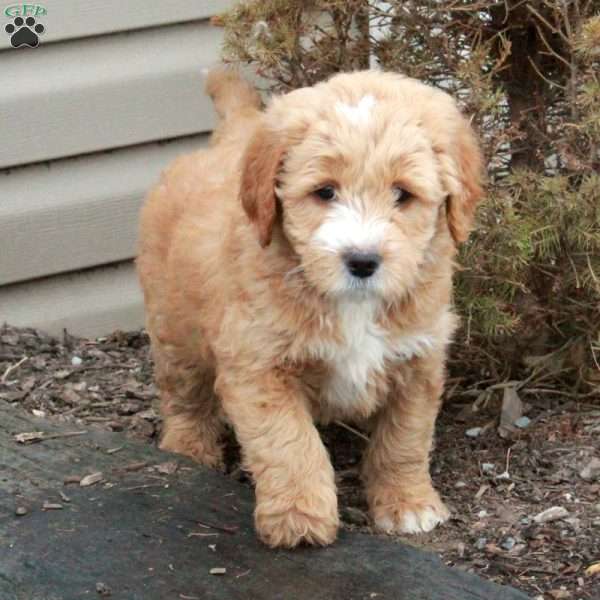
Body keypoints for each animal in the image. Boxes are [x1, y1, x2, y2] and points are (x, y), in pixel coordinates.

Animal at [136, 68, 482, 548]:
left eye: (403, 194)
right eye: (325, 192)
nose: (362, 261)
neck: (352, 305)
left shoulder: (419, 357)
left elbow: (405, 437)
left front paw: (407, 503)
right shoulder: (260, 364)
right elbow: (289, 442)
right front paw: (298, 517)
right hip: (173, 324)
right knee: (184, 393)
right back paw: (189, 450)